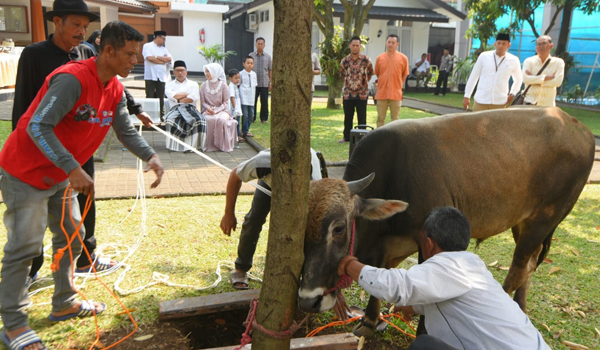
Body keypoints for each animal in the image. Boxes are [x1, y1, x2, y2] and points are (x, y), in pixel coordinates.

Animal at [298, 106, 592, 336]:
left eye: (338, 228)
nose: (308, 301)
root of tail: (580, 129)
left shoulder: (426, 242)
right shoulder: (388, 246)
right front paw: (370, 321)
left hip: (544, 219)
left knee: (519, 268)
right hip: (524, 222)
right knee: (529, 266)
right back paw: (521, 308)